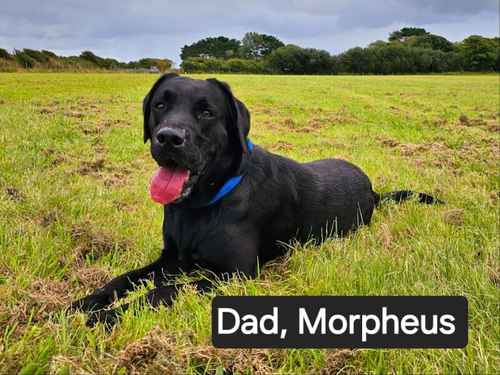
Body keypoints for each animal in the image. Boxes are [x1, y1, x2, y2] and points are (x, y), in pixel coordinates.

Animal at [71, 73, 442, 326]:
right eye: (160, 104)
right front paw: (83, 303)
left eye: (206, 112)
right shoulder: (171, 259)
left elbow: (162, 292)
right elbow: (124, 279)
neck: (204, 204)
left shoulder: (231, 273)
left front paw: (104, 318)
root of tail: (373, 191)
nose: (168, 138)